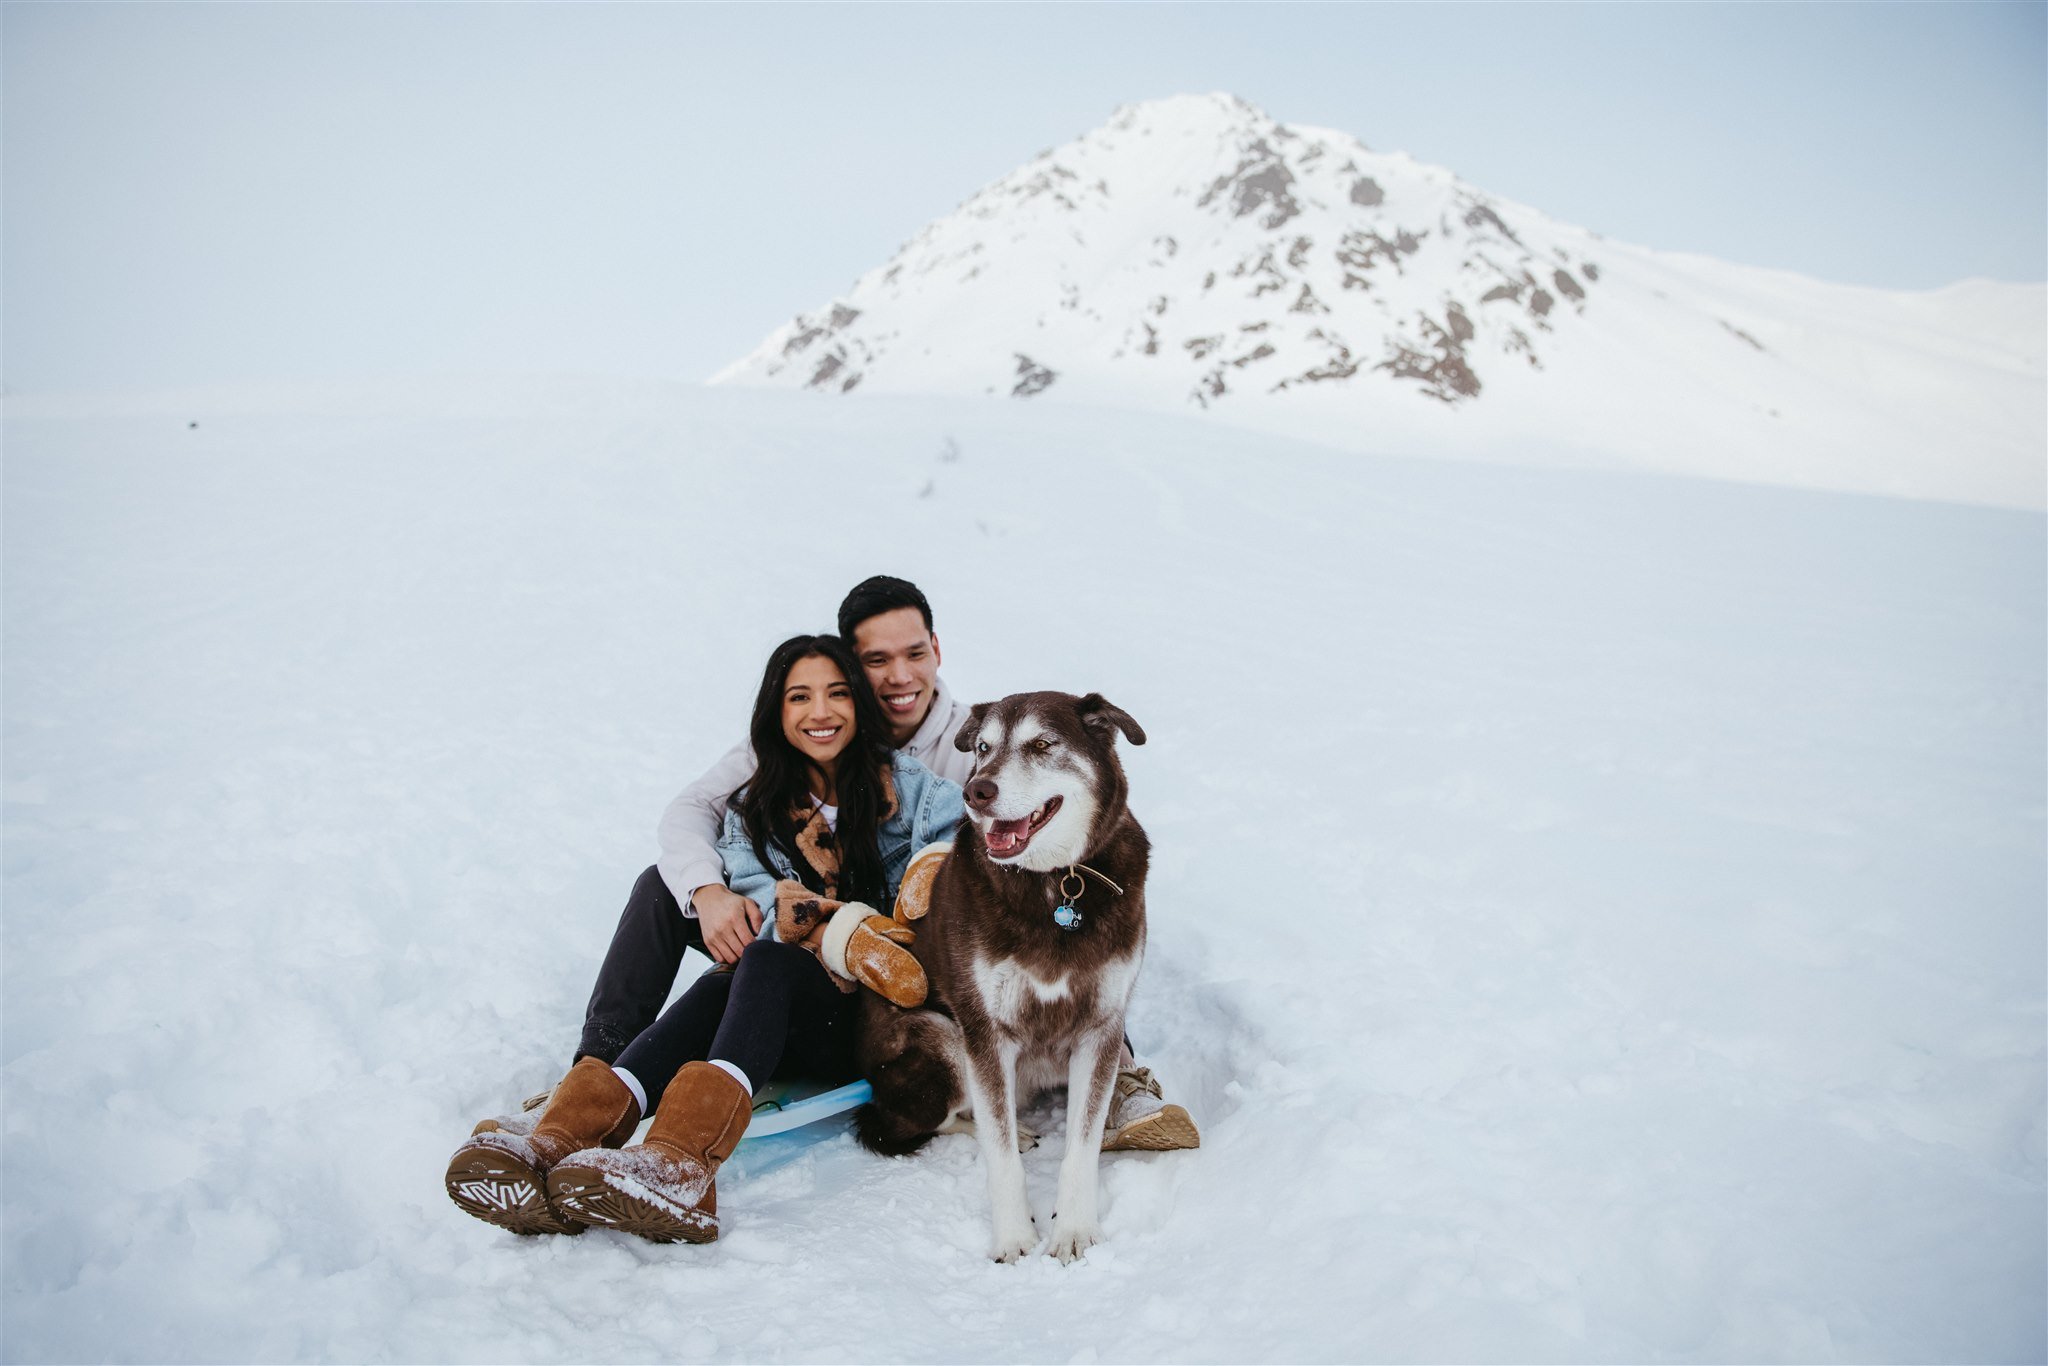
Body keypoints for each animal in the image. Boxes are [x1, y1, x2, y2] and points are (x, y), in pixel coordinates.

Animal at [847, 688, 1138, 1269]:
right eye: (982, 747)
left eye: (1042, 744)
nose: (976, 791)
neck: (1056, 886)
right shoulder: (984, 1032)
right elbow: (999, 1154)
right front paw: (1014, 1239)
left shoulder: (1102, 1030)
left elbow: (1083, 1145)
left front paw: (1074, 1230)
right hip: (943, 1041)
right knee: (944, 1119)